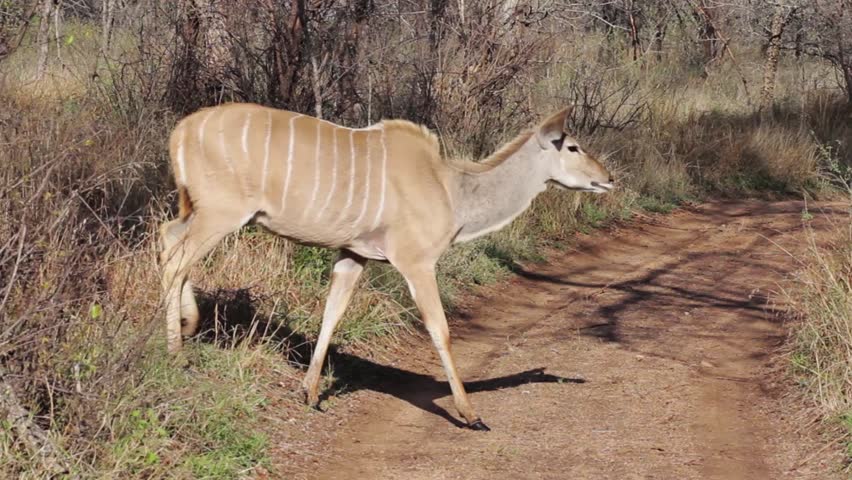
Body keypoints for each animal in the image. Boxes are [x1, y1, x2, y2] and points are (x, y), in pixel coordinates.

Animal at [159, 104, 613, 430]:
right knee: (176, 261)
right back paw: (177, 354)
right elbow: (441, 330)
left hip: (196, 210)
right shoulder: (417, 262)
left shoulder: (353, 254)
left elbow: (333, 313)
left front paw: (310, 392)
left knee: (166, 239)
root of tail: (181, 131)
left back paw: (187, 326)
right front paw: (471, 414)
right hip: (222, 214)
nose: (607, 178)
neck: (451, 187)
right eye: (571, 147)